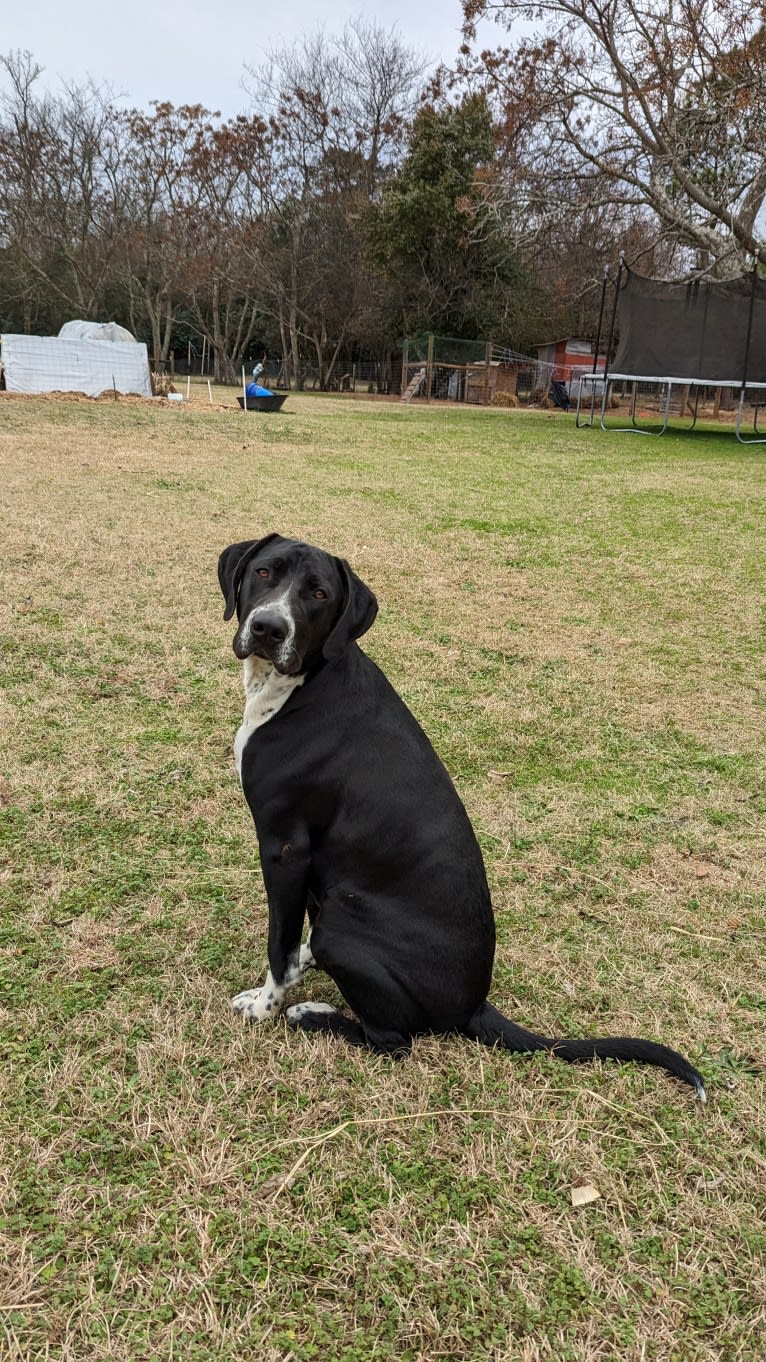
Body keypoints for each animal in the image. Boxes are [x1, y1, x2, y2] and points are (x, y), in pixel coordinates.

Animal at [215, 536, 703, 1100]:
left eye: (318, 594)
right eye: (264, 572)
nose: (269, 628)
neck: (304, 682)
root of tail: (473, 1004)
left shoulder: (285, 848)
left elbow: (278, 946)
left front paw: (265, 1005)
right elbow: (295, 934)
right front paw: (297, 966)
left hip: (344, 928)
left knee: (393, 1040)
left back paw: (312, 1014)